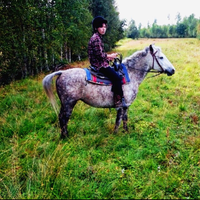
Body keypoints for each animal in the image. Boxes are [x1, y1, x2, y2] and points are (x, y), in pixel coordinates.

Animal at [42, 44, 175, 138]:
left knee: (61, 118)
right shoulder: (122, 104)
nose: (172, 70)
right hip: (69, 103)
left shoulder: (125, 105)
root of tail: (61, 72)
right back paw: (66, 137)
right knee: (64, 118)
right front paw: (116, 134)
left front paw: (126, 132)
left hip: (65, 103)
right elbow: (119, 120)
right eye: (161, 57)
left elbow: (124, 119)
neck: (131, 75)